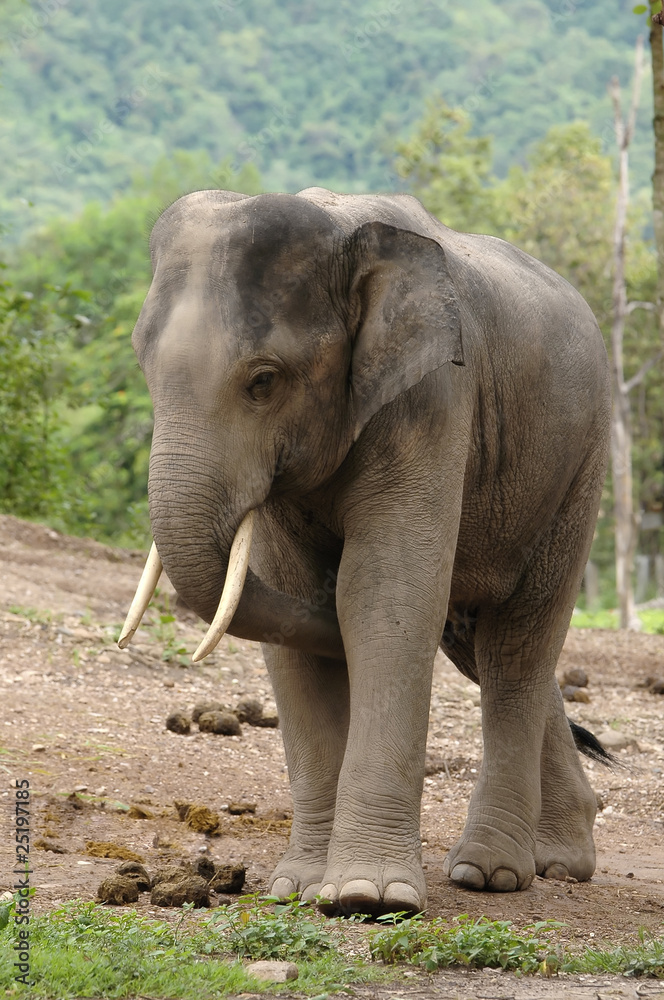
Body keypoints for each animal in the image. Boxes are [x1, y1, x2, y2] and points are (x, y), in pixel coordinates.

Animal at [119, 186, 611, 917]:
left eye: (263, 381)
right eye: (143, 366)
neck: (342, 233)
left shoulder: (432, 400)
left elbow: (382, 599)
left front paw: (366, 898)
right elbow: (294, 617)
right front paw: (297, 888)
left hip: (580, 465)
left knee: (516, 643)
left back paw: (490, 873)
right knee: (482, 647)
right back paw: (559, 860)